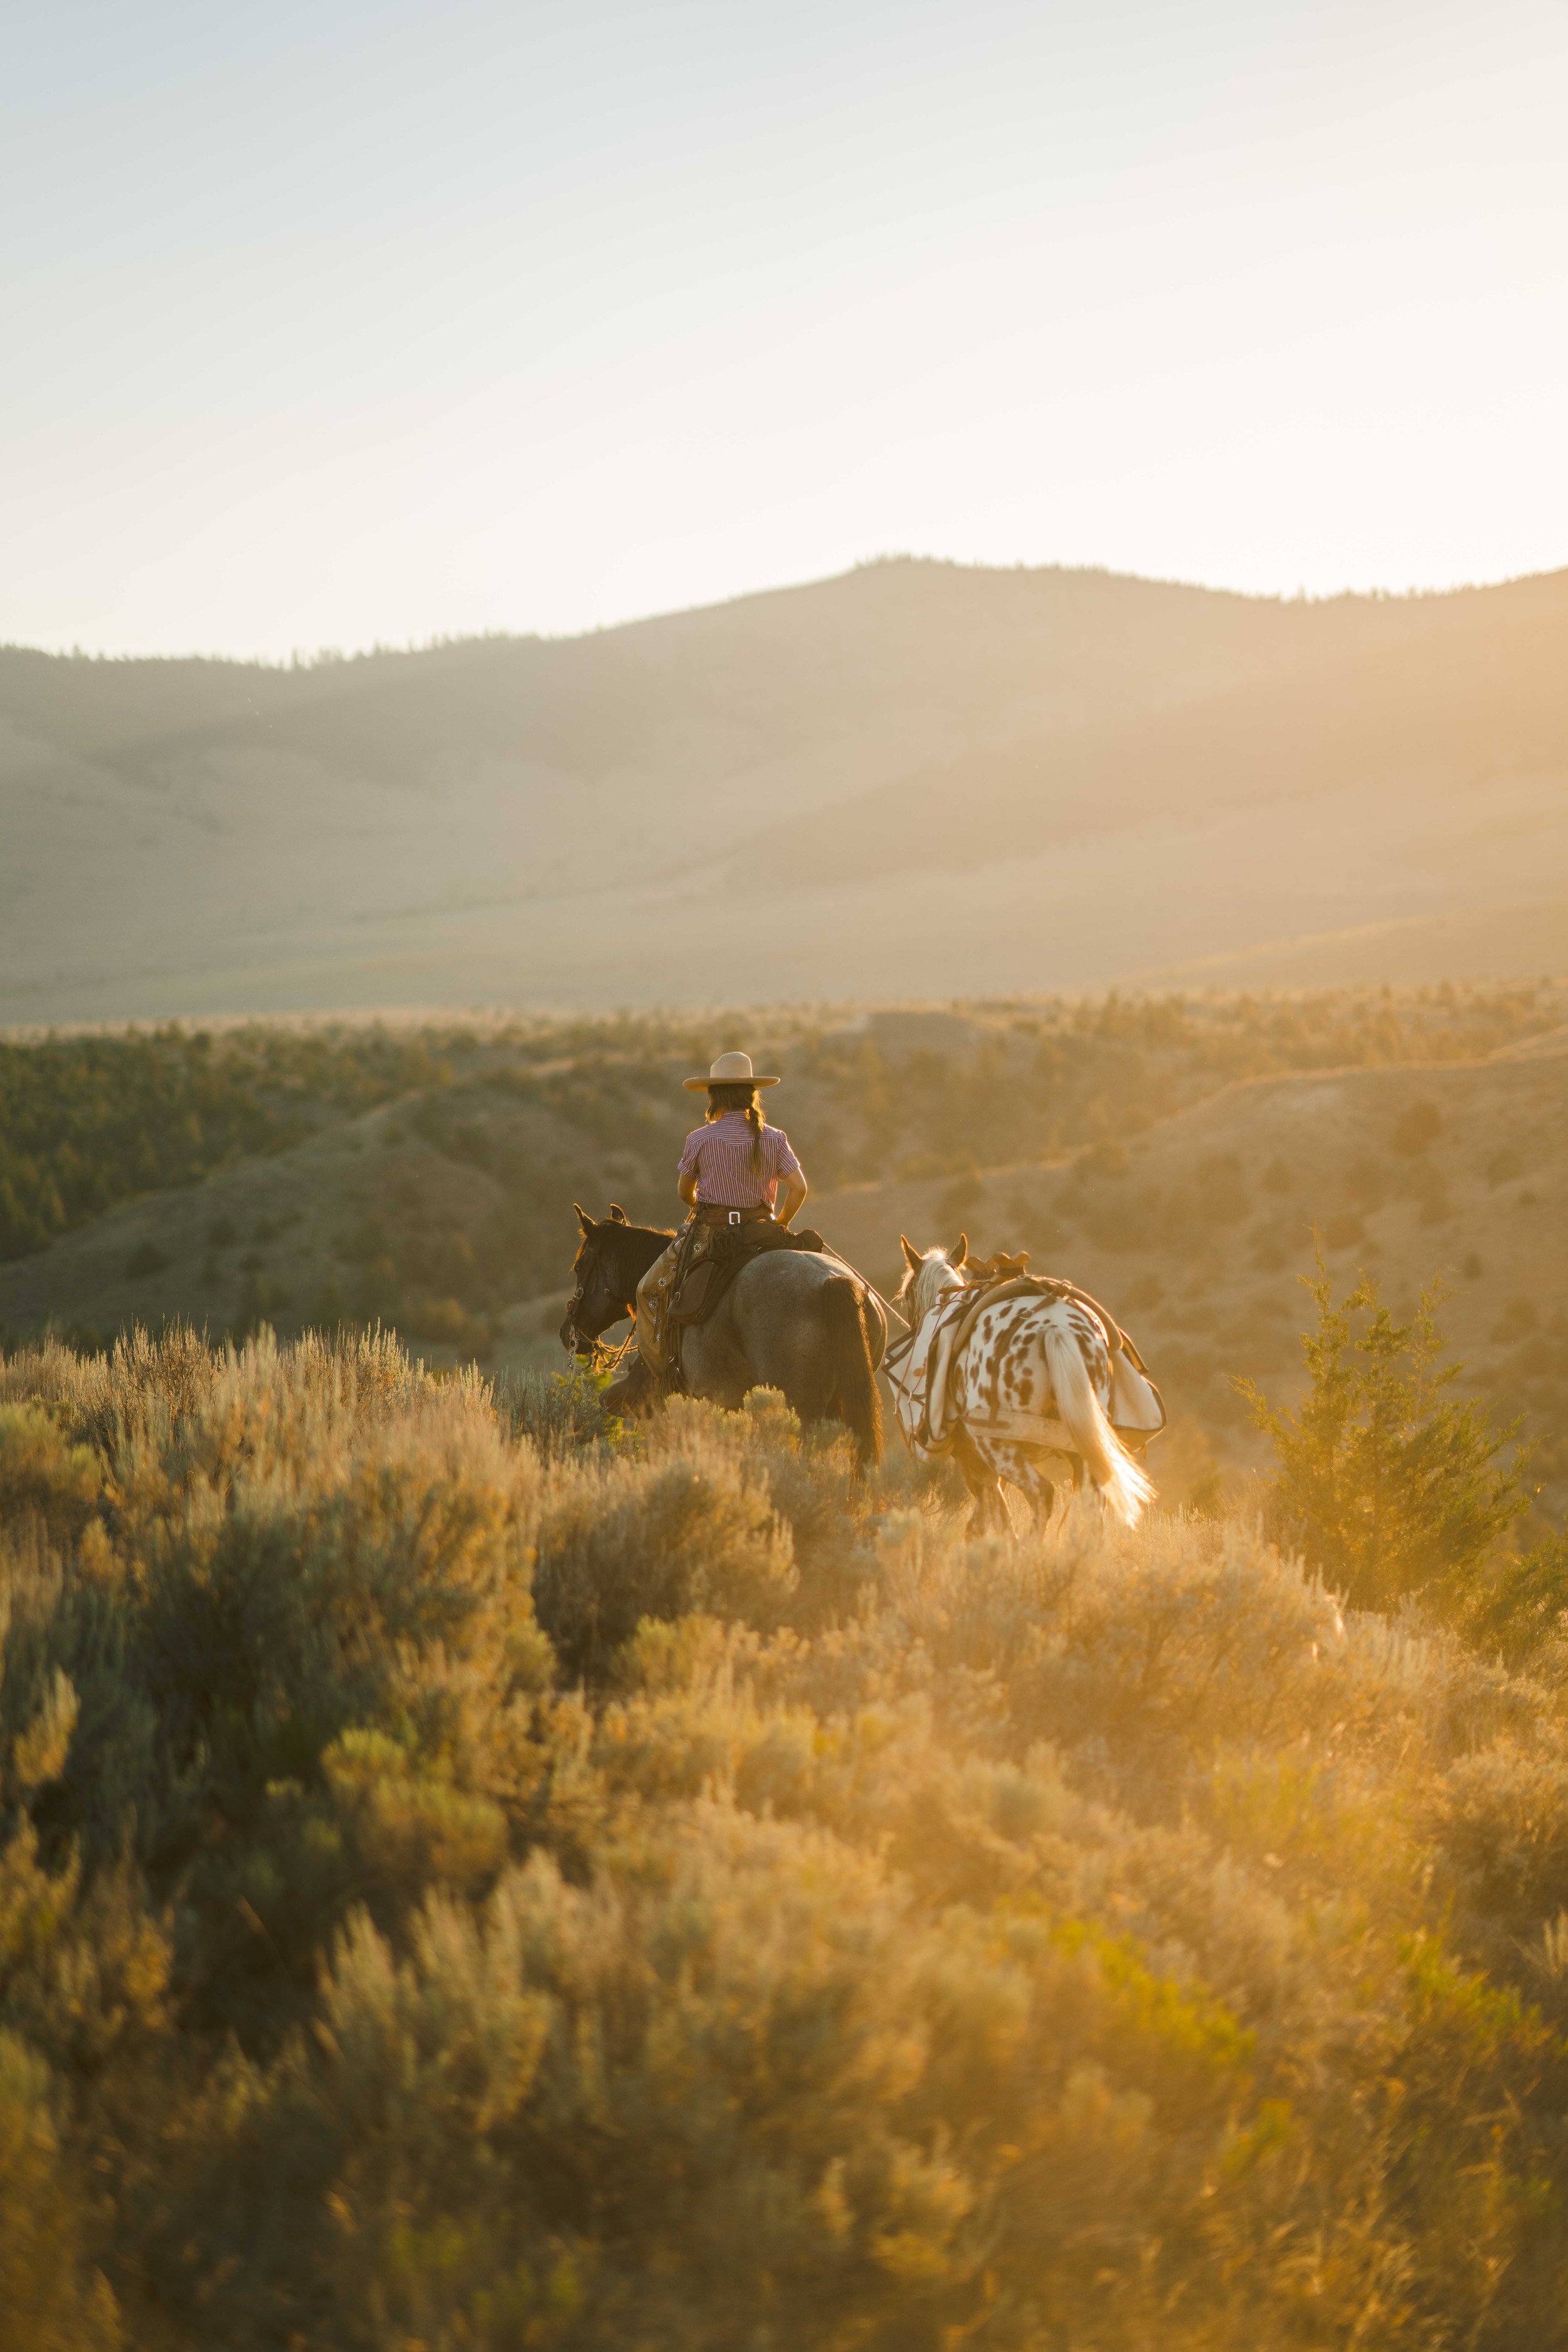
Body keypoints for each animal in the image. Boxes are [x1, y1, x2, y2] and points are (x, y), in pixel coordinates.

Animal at [890, 1234, 1156, 1533]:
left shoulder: (975, 1460)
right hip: (1080, 1444)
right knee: (1090, 1508)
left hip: (999, 1448)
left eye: (907, 1294)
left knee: (1042, 1493)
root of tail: (1055, 1329)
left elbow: (996, 1520)